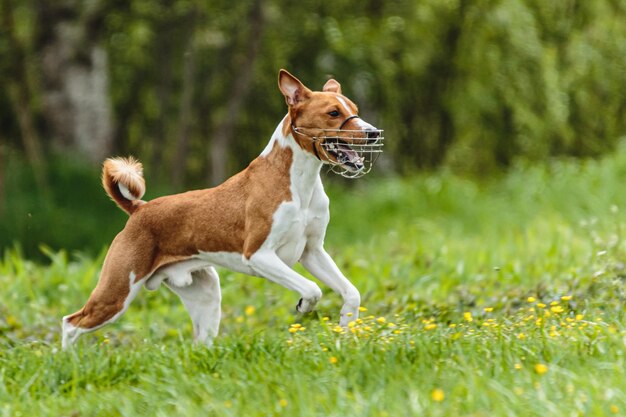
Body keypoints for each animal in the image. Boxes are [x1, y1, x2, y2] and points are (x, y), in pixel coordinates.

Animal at [64, 69, 386, 348]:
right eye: (333, 113)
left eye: (354, 108)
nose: (373, 133)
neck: (300, 186)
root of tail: (138, 209)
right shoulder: (258, 254)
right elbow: (311, 289)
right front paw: (304, 305)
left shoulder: (312, 251)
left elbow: (351, 293)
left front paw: (346, 334)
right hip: (117, 291)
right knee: (71, 323)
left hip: (206, 294)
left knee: (200, 341)